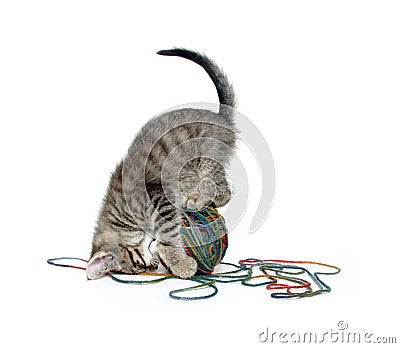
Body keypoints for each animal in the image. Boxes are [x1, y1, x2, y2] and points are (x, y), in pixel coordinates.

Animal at [86, 48, 238, 280]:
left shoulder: (158, 197)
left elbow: (166, 235)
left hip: (205, 159)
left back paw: (197, 200)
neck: (121, 213)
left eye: (139, 265)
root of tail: (221, 119)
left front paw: (179, 264)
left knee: (223, 192)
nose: (152, 266)